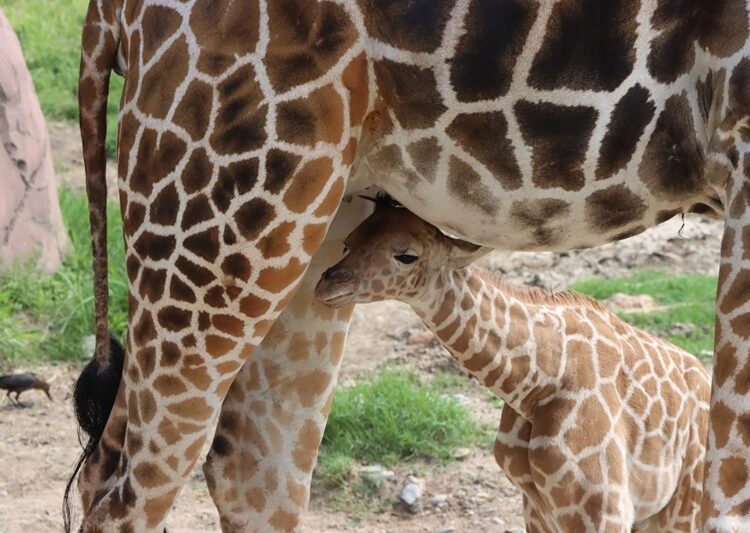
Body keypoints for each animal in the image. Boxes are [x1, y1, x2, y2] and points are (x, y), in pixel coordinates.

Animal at [315, 198, 711, 532]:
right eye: (348, 242)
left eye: (407, 256)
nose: (325, 284)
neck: (536, 382)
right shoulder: (536, 507)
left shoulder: (603, 508)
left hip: (683, 508)